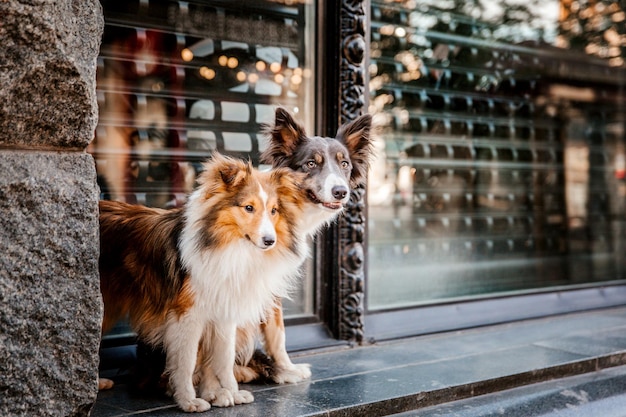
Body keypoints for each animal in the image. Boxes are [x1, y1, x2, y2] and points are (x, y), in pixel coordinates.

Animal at [98, 152, 310, 410]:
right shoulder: (188, 316)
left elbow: (221, 357)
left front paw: (221, 393)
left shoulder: (223, 313)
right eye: (249, 208)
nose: (270, 240)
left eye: (274, 210)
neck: (229, 248)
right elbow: (188, 360)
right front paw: (189, 400)